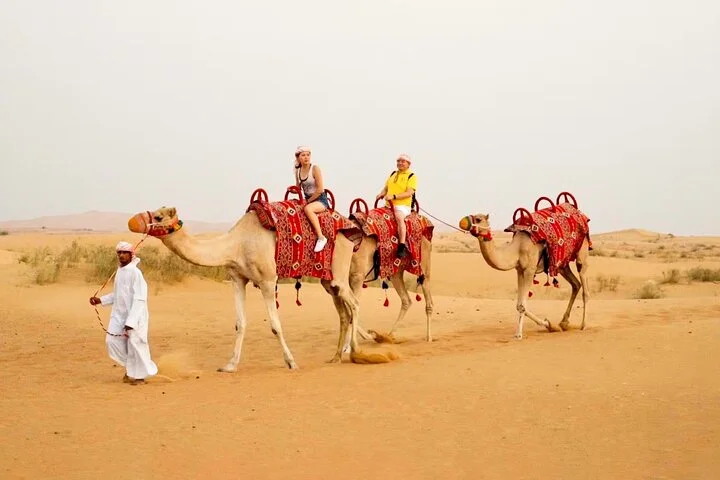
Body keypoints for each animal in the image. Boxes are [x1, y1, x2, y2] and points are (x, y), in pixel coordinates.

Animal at [127, 205, 387, 371]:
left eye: (158, 216)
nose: (132, 221)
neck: (235, 244)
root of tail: (348, 234)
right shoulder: (237, 278)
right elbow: (240, 323)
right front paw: (230, 365)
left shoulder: (267, 279)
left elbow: (275, 325)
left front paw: (291, 362)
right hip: (328, 279)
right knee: (344, 312)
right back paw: (336, 357)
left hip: (340, 271)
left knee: (354, 304)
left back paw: (355, 352)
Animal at [459, 213, 589, 339]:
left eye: (478, 219)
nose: (462, 222)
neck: (517, 248)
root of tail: (582, 215)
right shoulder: (520, 270)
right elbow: (519, 305)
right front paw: (549, 325)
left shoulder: (529, 270)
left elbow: (522, 305)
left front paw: (520, 334)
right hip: (562, 265)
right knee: (576, 284)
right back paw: (564, 323)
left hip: (582, 250)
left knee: (584, 286)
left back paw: (583, 325)